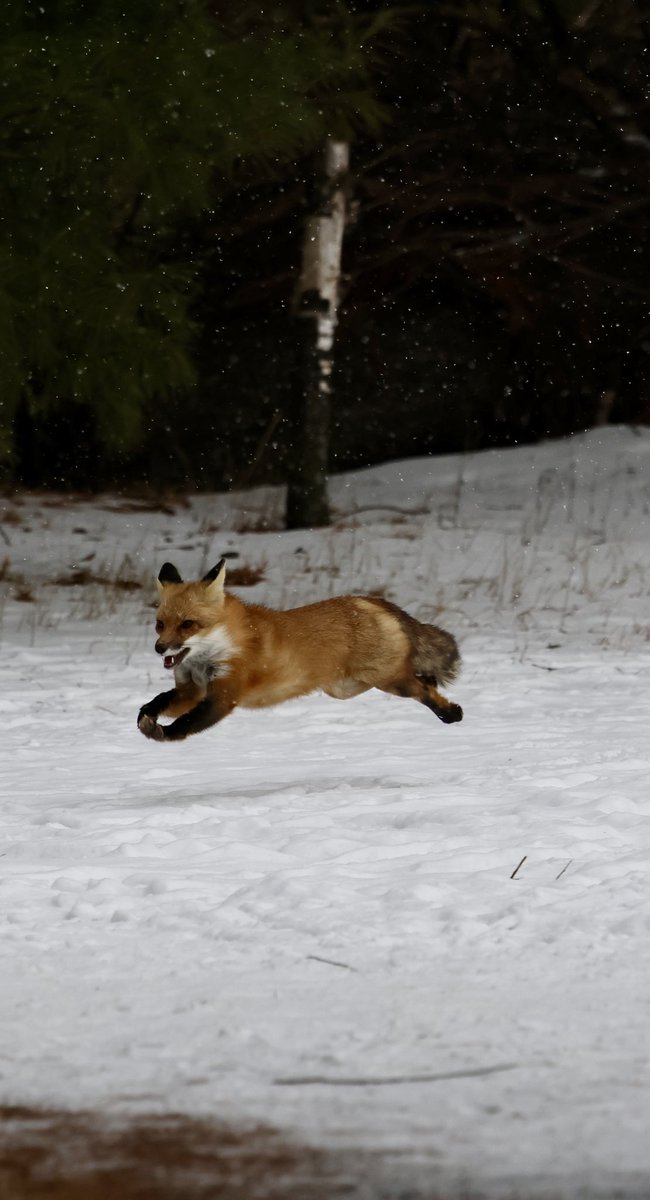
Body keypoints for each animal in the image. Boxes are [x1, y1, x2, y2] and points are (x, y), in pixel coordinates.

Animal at [137, 559, 463, 743]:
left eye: (188, 625)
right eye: (160, 624)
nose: (159, 648)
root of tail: (370, 600)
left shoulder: (224, 696)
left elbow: (187, 723)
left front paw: (164, 734)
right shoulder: (192, 691)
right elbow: (159, 700)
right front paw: (146, 717)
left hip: (388, 681)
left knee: (423, 689)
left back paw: (451, 713)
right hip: (349, 687)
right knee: (425, 680)